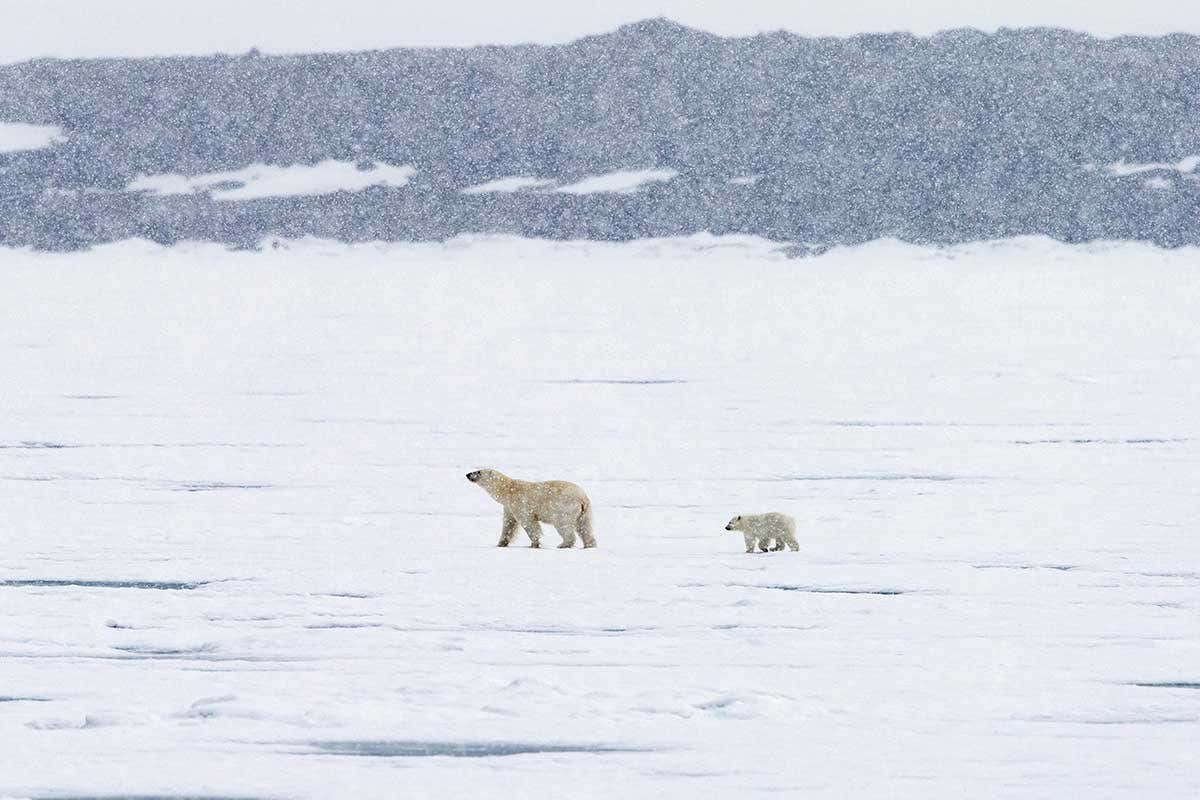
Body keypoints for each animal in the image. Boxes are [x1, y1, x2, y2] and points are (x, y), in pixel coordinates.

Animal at [466, 469, 596, 549]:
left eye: (478, 471)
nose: (468, 474)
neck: (508, 490)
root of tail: (582, 498)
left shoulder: (520, 504)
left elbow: (529, 524)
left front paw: (534, 544)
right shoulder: (509, 507)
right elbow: (508, 525)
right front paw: (500, 543)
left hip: (564, 508)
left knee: (563, 525)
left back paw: (563, 544)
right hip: (585, 512)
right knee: (585, 527)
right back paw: (589, 545)